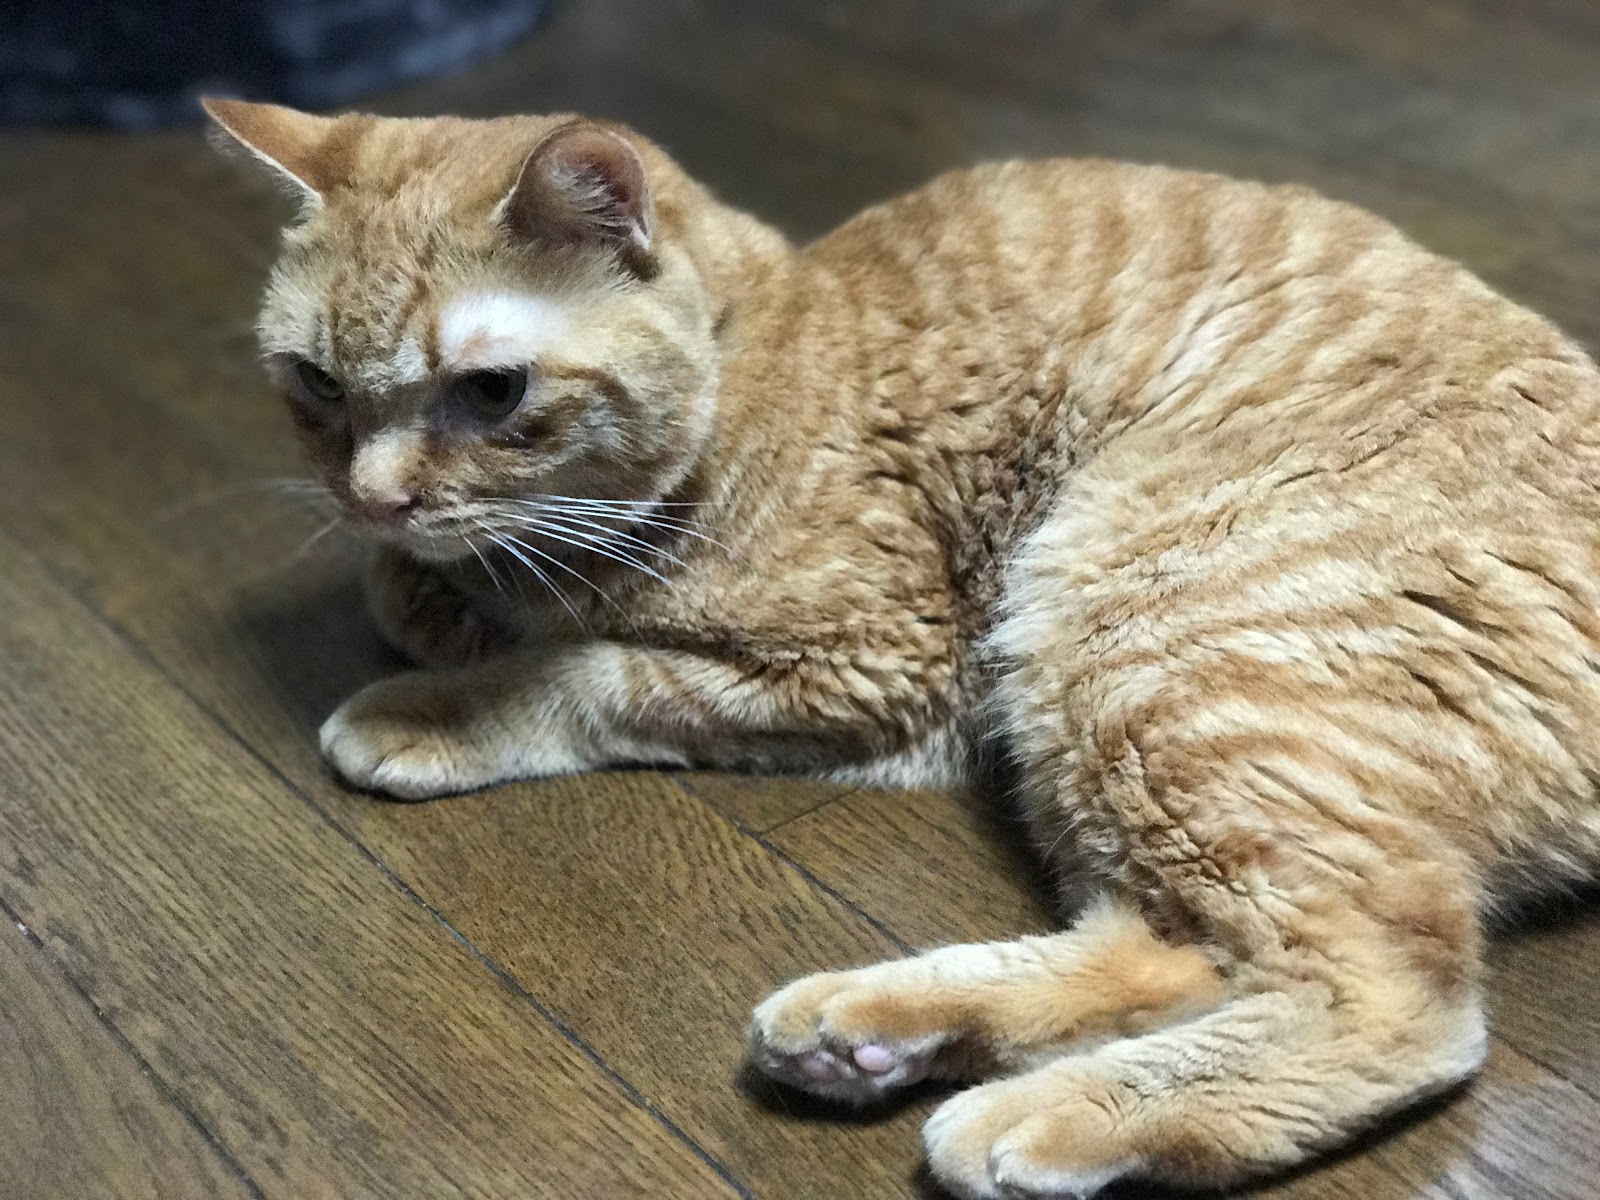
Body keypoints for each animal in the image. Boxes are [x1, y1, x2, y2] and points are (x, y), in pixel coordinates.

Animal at [206, 97, 1600, 1198]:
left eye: (491, 392)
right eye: (316, 385)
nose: (374, 497)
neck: (751, 365)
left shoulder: (880, 663)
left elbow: (588, 672)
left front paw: (435, 698)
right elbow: (429, 596)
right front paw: (438, 597)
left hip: (1125, 630)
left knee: (1385, 998)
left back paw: (1043, 1109)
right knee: (1181, 948)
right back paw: (870, 1033)